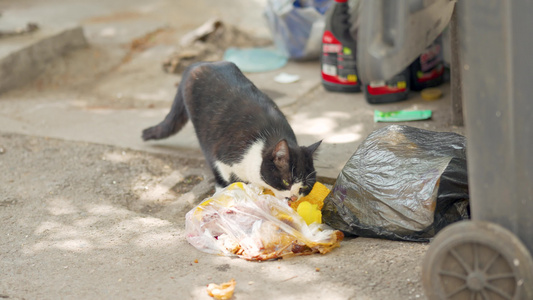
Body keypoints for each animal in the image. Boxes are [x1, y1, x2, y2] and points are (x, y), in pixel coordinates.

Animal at [141, 61, 320, 202]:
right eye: (285, 182)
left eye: (304, 187)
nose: (294, 197)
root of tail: (199, 64)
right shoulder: (223, 156)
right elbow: (224, 176)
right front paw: (227, 193)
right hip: (203, 131)